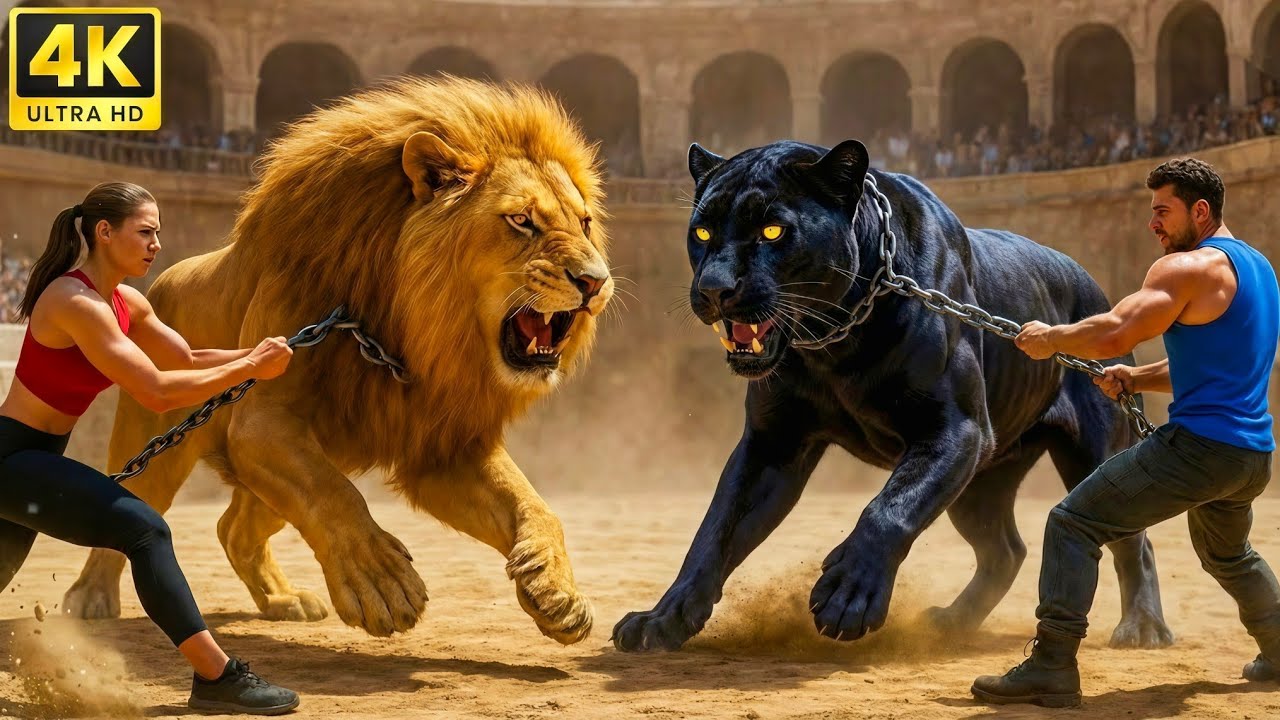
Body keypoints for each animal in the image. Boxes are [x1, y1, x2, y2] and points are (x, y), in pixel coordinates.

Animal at [61, 76, 613, 644]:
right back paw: (90, 599)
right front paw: (382, 583)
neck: (409, 329)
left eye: (585, 223)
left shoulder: (443, 448)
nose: (595, 282)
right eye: (521, 221)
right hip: (158, 436)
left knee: (233, 526)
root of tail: (158, 280)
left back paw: (281, 599)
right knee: (128, 502)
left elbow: (535, 505)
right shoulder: (262, 421)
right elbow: (333, 494)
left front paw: (556, 591)